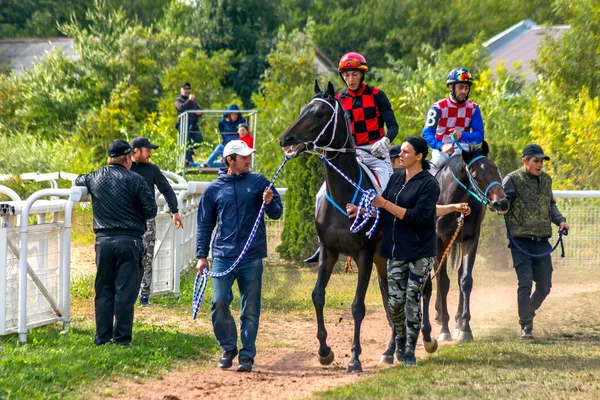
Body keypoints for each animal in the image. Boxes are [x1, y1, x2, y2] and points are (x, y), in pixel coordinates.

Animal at [280, 81, 432, 372]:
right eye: (303, 108)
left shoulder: (364, 254)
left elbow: (357, 306)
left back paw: (427, 340)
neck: (344, 194)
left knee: (421, 292)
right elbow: (318, 295)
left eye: (319, 114)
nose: (286, 140)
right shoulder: (328, 251)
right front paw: (324, 352)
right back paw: (391, 351)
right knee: (390, 299)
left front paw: (354, 359)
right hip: (384, 261)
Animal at [422, 142, 506, 346]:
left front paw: (464, 328)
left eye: (495, 169)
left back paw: (458, 321)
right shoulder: (439, 242)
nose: (502, 202)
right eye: (475, 176)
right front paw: (444, 329)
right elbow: (443, 281)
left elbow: (465, 279)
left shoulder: (470, 239)